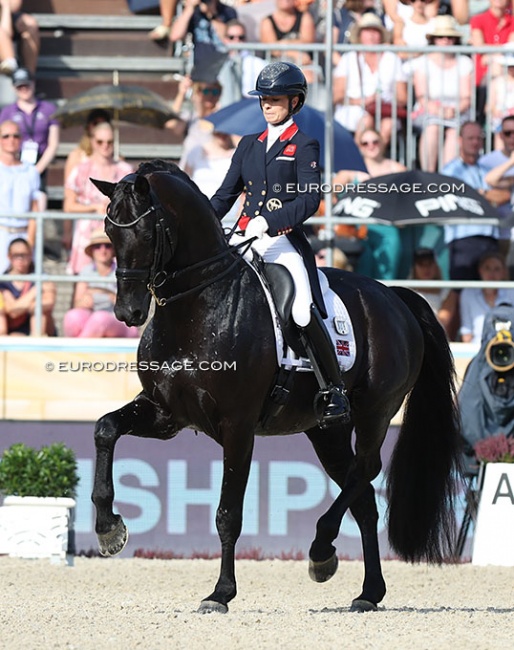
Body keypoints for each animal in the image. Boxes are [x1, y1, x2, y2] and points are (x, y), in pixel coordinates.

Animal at [91, 161, 460, 612]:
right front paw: (109, 528)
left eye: (146, 233)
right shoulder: (166, 414)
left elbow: (228, 513)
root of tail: (394, 297)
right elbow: (106, 428)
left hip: (374, 411)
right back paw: (367, 591)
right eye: (109, 232)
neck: (196, 309)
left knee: (366, 470)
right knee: (363, 497)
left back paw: (321, 551)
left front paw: (221, 593)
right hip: (327, 431)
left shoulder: (237, 427)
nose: (127, 312)